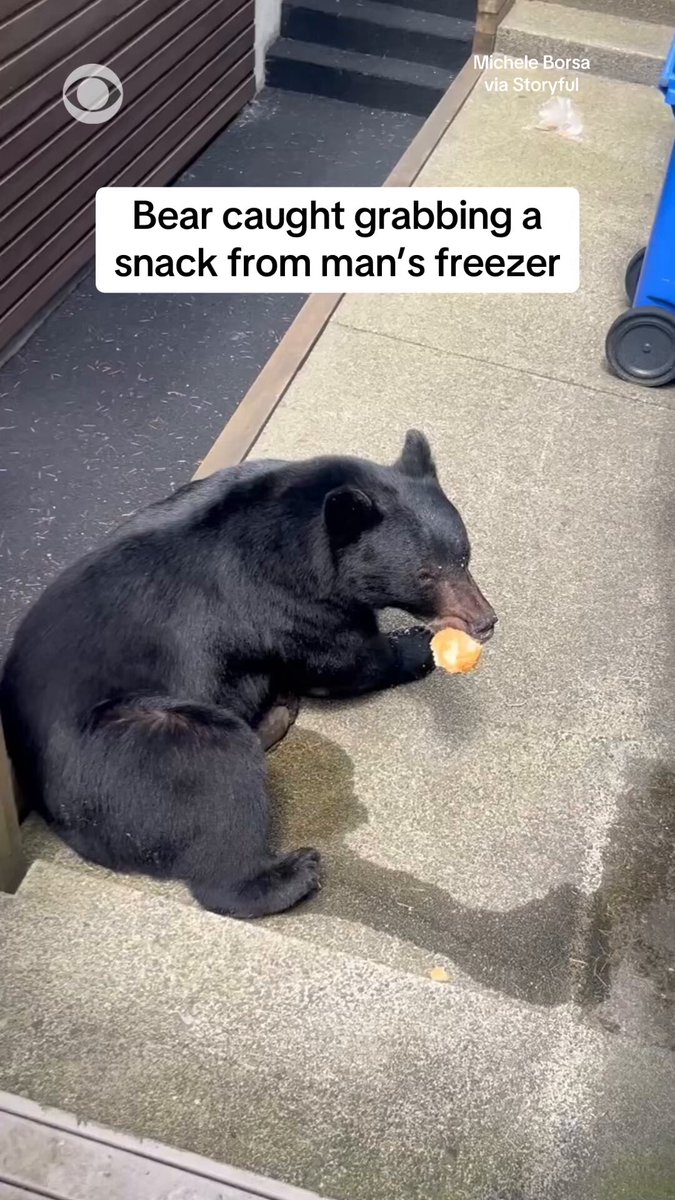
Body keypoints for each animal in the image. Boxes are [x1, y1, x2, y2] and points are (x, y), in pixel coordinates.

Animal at [0, 430, 496, 918]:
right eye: (425, 574)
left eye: (465, 556)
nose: (485, 621)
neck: (307, 536)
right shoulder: (280, 598)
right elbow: (342, 660)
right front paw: (418, 646)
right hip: (128, 749)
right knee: (215, 767)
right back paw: (291, 873)